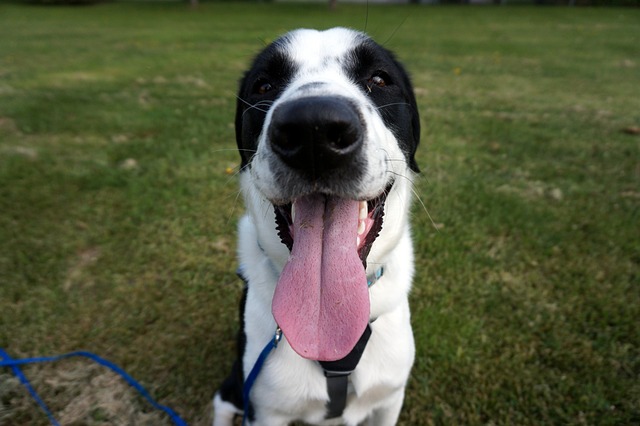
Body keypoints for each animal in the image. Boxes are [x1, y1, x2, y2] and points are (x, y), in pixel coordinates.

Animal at [214, 27, 420, 426]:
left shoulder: (390, 398)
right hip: (233, 389)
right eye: (263, 85)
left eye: (379, 79)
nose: (314, 129)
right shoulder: (265, 411)